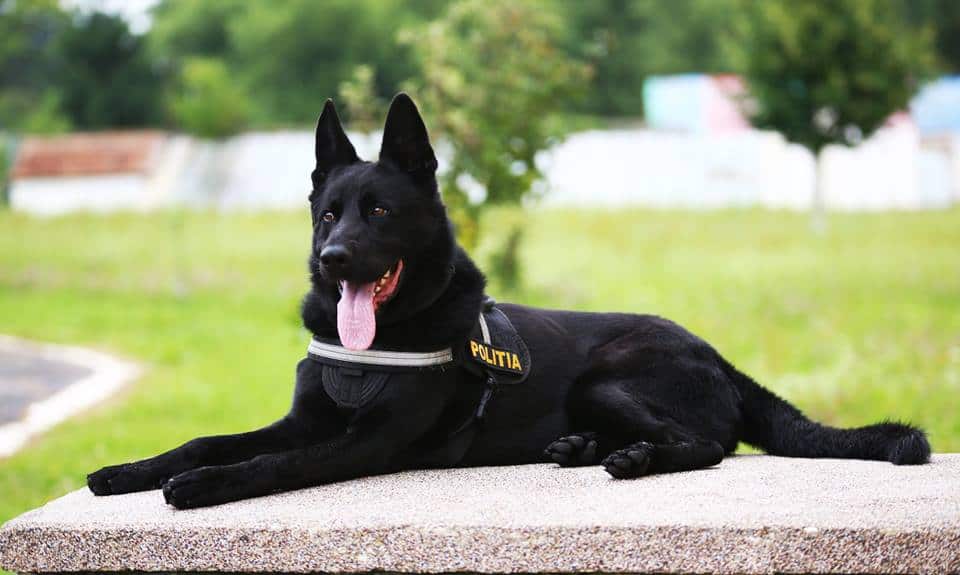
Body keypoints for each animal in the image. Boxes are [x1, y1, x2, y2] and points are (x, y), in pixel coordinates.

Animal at [86, 94, 928, 512]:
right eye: (328, 214)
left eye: (379, 213)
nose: (333, 259)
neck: (378, 343)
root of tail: (717, 353)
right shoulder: (304, 417)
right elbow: (207, 439)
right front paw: (131, 469)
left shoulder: (362, 441)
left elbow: (274, 461)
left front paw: (206, 486)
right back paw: (580, 448)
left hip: (609, 374)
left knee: (708, 444)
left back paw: (636, 459)